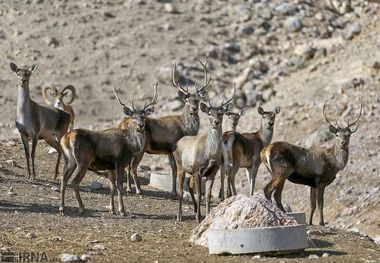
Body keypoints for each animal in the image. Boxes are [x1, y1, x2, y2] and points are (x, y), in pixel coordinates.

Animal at [58, 83, 157, 216]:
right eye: (133, 117)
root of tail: (67, 138)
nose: (140, 125)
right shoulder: (120, 162)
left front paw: (112, 209)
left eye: (144, 116)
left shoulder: (110, 166)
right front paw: (122, 210)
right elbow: (119, 186)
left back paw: (62, 208)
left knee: (63, 179)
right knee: (74, 181)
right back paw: (81, 208)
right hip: (83, 160)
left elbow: (112, 186)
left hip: (69, 160)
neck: (131, 145)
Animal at [119, 60, 211, 196]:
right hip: (140, 148)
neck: (186, 128)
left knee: (128, 165)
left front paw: (173, 191)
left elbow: (172, 170)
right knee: (132, 167)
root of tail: (123, 123)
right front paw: (176, 192)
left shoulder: (169, 151)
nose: (193, 109)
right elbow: (177, 170)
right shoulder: (175, 146)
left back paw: (129, 189)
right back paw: (138, 190)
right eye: (187, 100)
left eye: (198, 100)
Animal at [173, 88, 233, 223]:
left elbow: (207, 195)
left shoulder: (212, 172)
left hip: (190, 170)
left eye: (221, 113)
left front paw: (206, 216)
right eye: (209, 113)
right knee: (181, 189)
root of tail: (177, 143)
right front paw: (198, 218)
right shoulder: (197, 169)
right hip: (180, 165)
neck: (210, 154)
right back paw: (179, 216)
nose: (216, 122)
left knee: (189, 184)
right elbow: (200, 194)